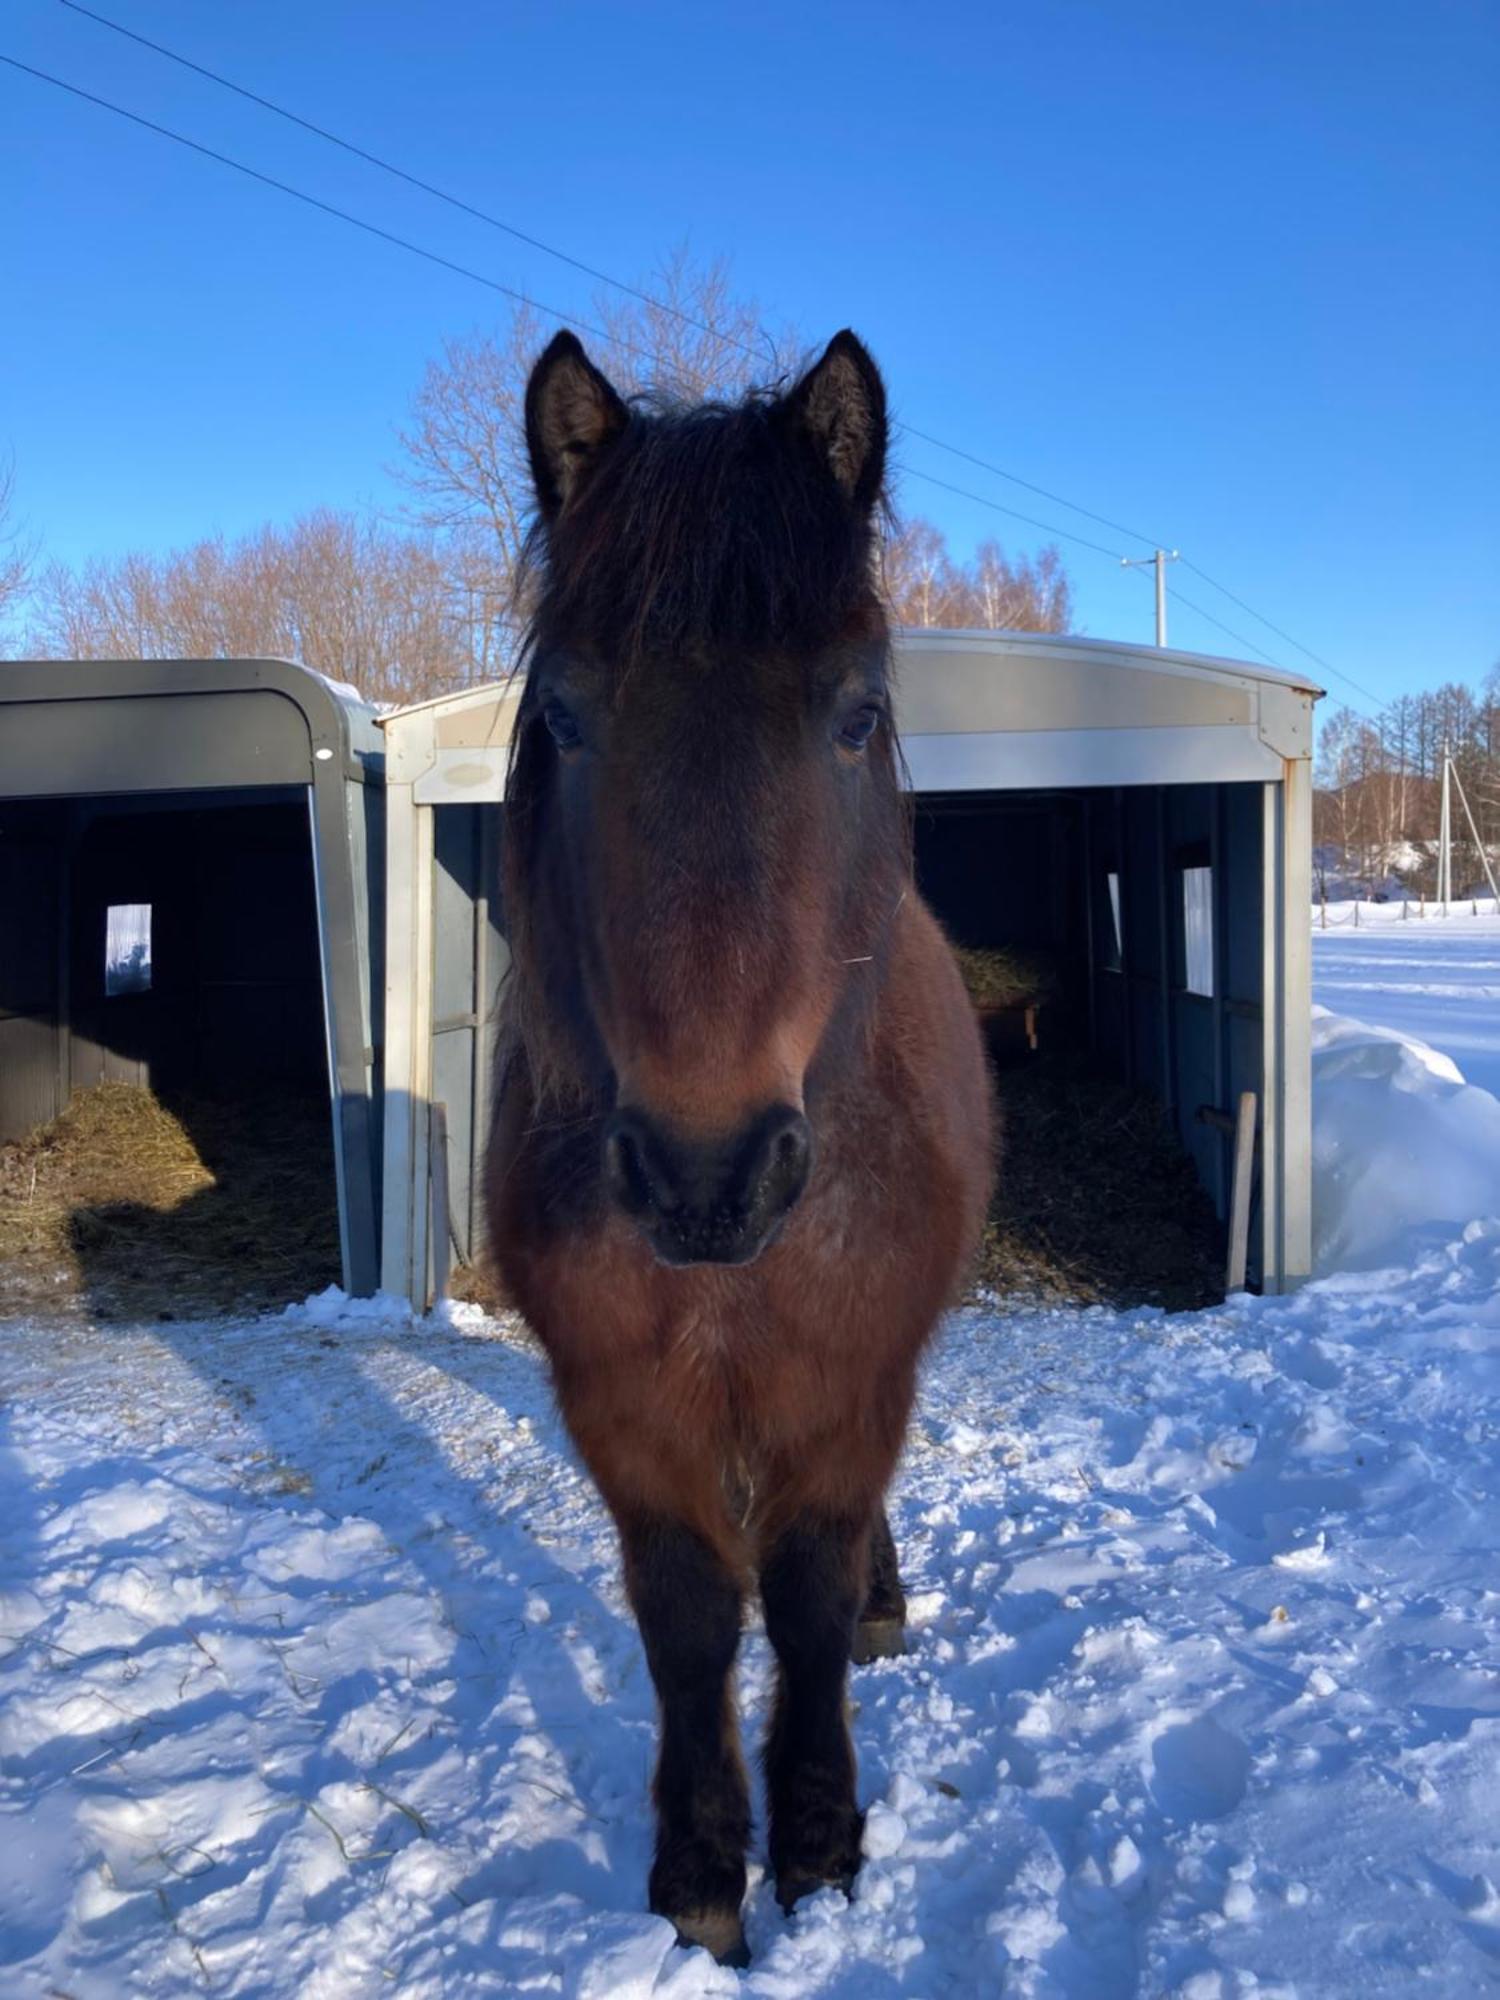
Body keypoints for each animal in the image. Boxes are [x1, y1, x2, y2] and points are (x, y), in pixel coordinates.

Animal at [488, 332, 992, 1968]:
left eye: (854, 713)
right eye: (565, 716)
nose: (708, 1172)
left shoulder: (846, 1377)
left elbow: (811, 1603)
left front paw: (820, 1847)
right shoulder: (623, 1406)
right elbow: (692, 1615)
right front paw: (706, 1868)